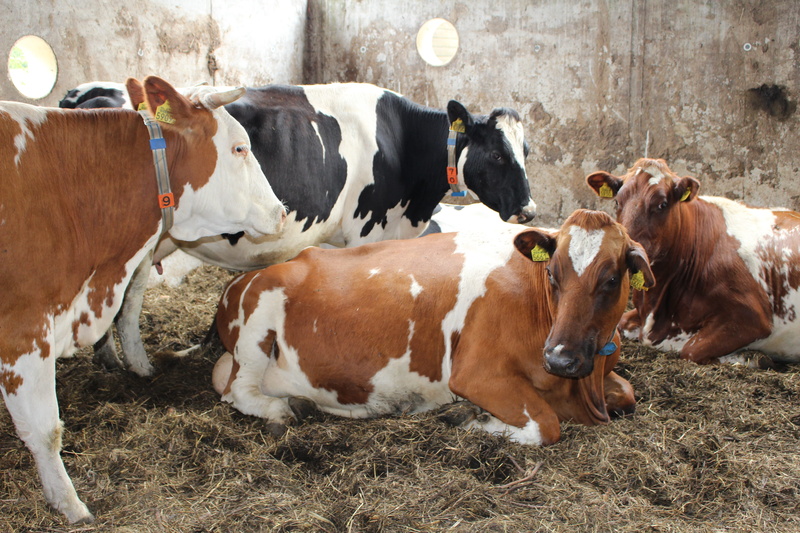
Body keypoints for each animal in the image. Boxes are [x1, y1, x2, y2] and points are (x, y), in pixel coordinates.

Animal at [61, 82, 538, 378]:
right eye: (497, 154)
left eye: (527, 150)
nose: (529, 210)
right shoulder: (366, 231)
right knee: (129, 299)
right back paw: (139, 366)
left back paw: (113, 360)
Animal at [210, 209, 654, 445]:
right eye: (552, 273)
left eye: (611, 279)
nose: (560, 359)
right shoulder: (476, 373)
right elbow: (547, 425)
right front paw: (472, 419)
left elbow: (628, 394)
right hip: (257, 321)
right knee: (238, 390)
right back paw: (283, 409)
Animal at [587, 157, 800, 365]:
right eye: (617, 202)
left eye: (662, 204)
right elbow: (621, 324)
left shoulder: (753, 316)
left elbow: (691, 349)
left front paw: (748, 357)